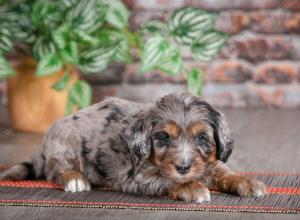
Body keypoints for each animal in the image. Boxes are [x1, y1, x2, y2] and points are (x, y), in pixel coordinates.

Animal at [0, 92, 268, 202]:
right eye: (163, 137)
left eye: (202, 138)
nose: (183, 168)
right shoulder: (134, 177)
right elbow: (167, 179)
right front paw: (192, 187)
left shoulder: (208, 163)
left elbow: (223, 170)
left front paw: (247, 182)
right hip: (67, 144)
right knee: (55, 170)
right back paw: (75, 179)